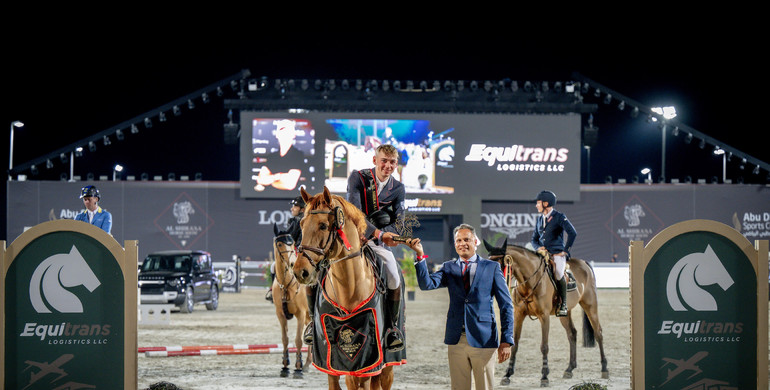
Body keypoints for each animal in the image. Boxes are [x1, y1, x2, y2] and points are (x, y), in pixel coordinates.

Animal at [270, 224, 312, 380]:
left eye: (292, 243)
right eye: (280, 244)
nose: (293, 264)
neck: (287, 284)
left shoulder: (300, 314)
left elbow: (298, 340)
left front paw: (298, 369)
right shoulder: (281, 315)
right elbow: (285, 339)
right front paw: (285, 367)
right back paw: (307, 364)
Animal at [292, 187, 402, 390]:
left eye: (323, 226)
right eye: (301, 224)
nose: (300, 272)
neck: (348, 287)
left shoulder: (368, 361)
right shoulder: (330, 362)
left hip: (388, 362)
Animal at [486, 239, 608, 386]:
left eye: (498, 265)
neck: (529, 282)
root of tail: (584, 263)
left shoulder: (544, 316)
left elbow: (544, 346)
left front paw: (544, 376)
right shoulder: (518, 315)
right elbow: (514, 345)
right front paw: (507, 374)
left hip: (590, 305)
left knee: (598, 333)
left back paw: (604, 369)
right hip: (565, 313)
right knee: (572, 334)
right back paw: (569, 369)